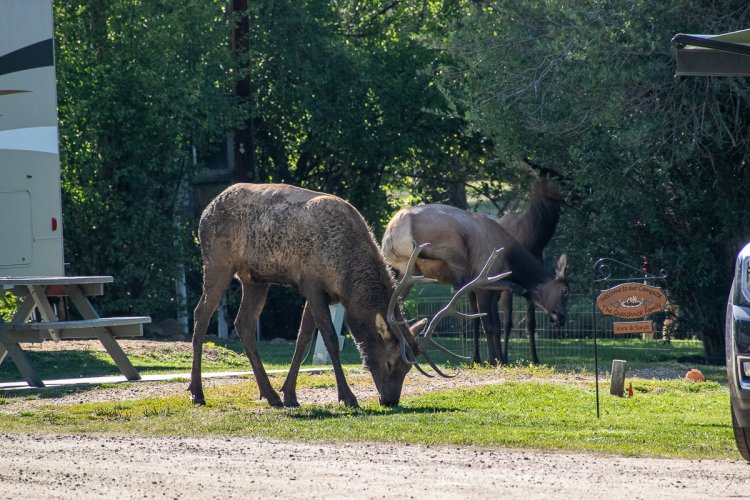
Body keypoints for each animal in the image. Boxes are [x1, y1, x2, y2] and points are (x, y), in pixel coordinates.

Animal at [191, 182, 506, 408]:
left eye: (408, 369)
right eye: (390, 362)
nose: (389, 401)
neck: (346, 272)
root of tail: (204, 212)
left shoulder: (323, 293)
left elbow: (303, 338)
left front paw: (290, 395)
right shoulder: (312, 283)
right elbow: (330, 339)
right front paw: (348, 398)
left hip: (255, 278)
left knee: (243, 323)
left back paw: (270, 396)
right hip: (217, 261)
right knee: (201, 313)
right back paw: (197, 393)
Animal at [382, 204, 568, 368]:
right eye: (565, 291)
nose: (562, 317)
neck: (510, 259)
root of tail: (392, 233)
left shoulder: (494, 294)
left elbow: (496, 324)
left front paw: (501, 359)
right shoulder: (484, 280)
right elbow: (489, 325)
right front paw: (493, 360)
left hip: (404, 270)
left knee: (395, 302)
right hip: (453, 248)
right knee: (460, 283)